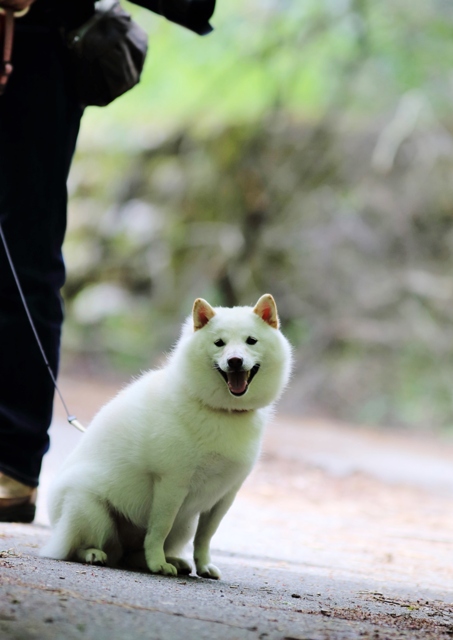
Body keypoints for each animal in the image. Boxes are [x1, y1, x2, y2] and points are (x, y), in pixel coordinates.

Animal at [41, 296, 290, 580]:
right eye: (219, 343)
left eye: (251, 341)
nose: (235, 361)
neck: (220, 410)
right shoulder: (172, 484)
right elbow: (159, 529)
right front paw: (158, 563)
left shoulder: (225, 495)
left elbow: (205, 536)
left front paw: (203, 565)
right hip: (90, 510)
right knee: (77, 546)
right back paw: (93, 553)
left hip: (184, 524)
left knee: (131, 554)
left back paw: (170, 561)